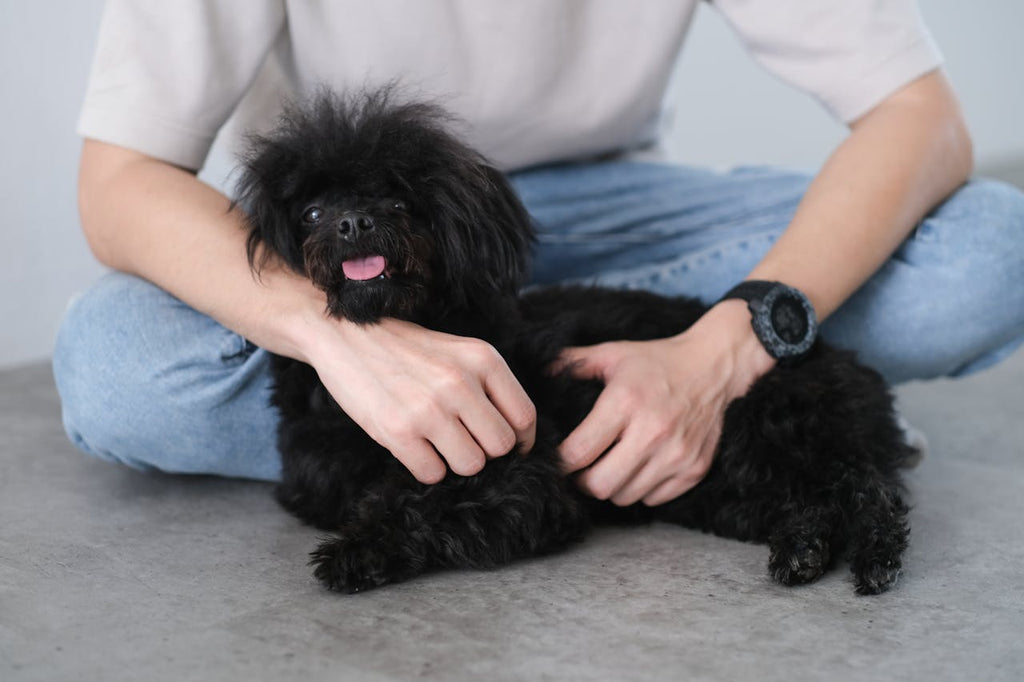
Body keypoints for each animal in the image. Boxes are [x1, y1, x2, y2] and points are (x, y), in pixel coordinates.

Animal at [235, 87, 917, 593]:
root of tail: (849, 367)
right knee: (815, 502)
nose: (354, 221)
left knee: (866, 488)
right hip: (730, 488)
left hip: (771, 433)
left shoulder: (528, 483)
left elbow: (417, 502)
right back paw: (804, 549)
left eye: (400, 200)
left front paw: (356, 553)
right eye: (312, 214)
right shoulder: (312, 481)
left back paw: (874, 556)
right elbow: (366, 491)